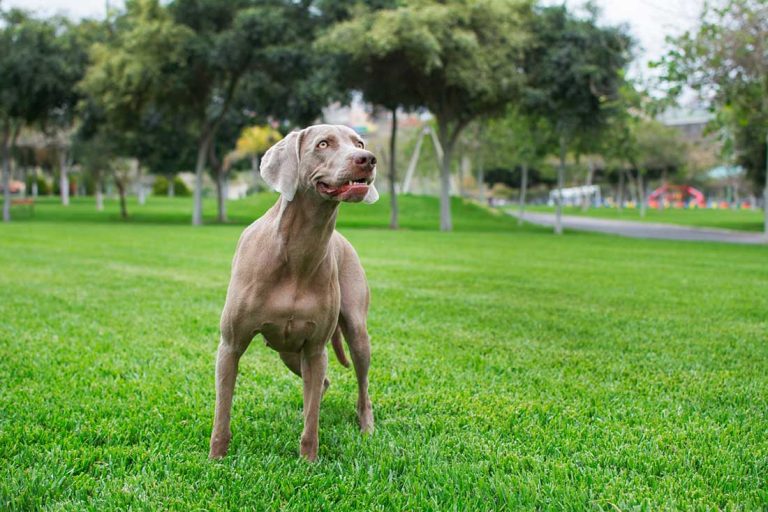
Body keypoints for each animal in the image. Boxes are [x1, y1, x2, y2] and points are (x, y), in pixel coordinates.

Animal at [208, 123, 380, 460]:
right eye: (323, 144)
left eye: (358, 143)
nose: (367, 158)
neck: (299, 248)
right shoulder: (230, 345)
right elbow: (223, 411)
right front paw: (216, 458)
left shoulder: (314, 349)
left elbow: (313, 421)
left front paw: (309, 461)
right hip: (287, 351)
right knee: (322, 385)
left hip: (354, 330)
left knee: (358, 383)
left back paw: (366, 426)